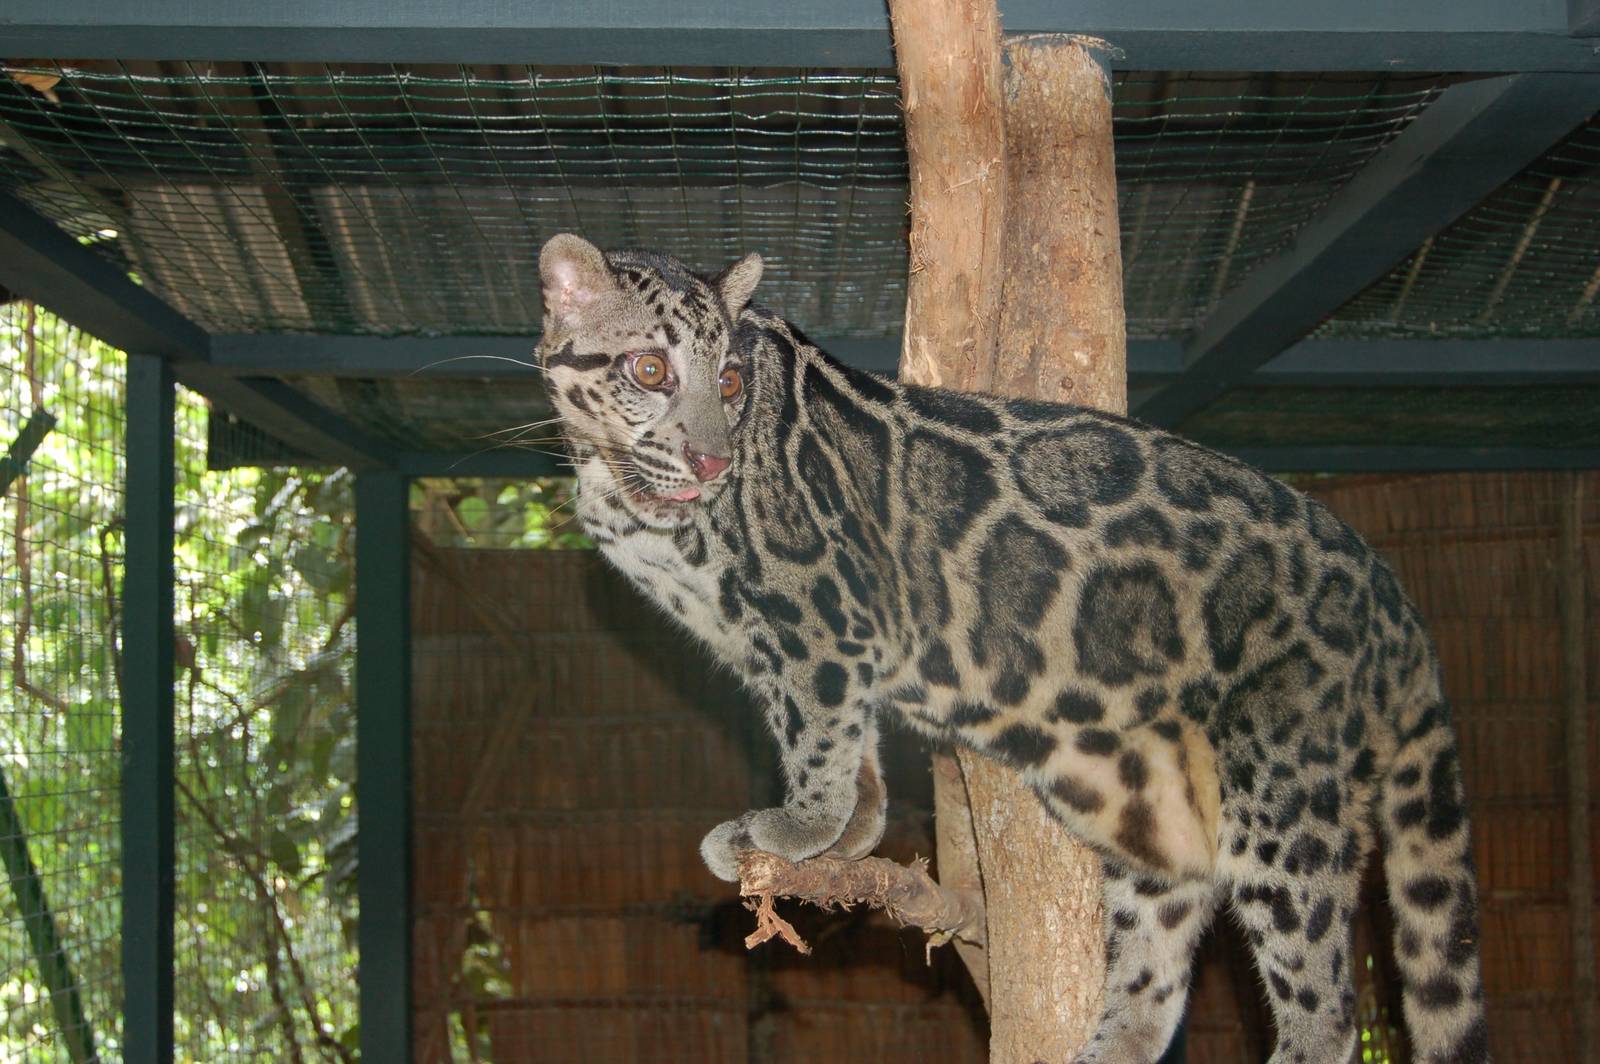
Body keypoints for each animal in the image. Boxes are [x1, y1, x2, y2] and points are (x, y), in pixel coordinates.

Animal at [534, 232, 1490, 1064]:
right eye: (649, 370)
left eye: (730, 380)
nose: (711, 460)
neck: (621, 486)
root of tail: (1395, 603)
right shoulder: (794, 646)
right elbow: (852, 746)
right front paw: (850, 837)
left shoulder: (822, 614)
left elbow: (820, 738)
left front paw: (801, 826)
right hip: (1159, 814)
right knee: (1154, 981)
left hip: (1287, 796)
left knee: (1326, 1008)